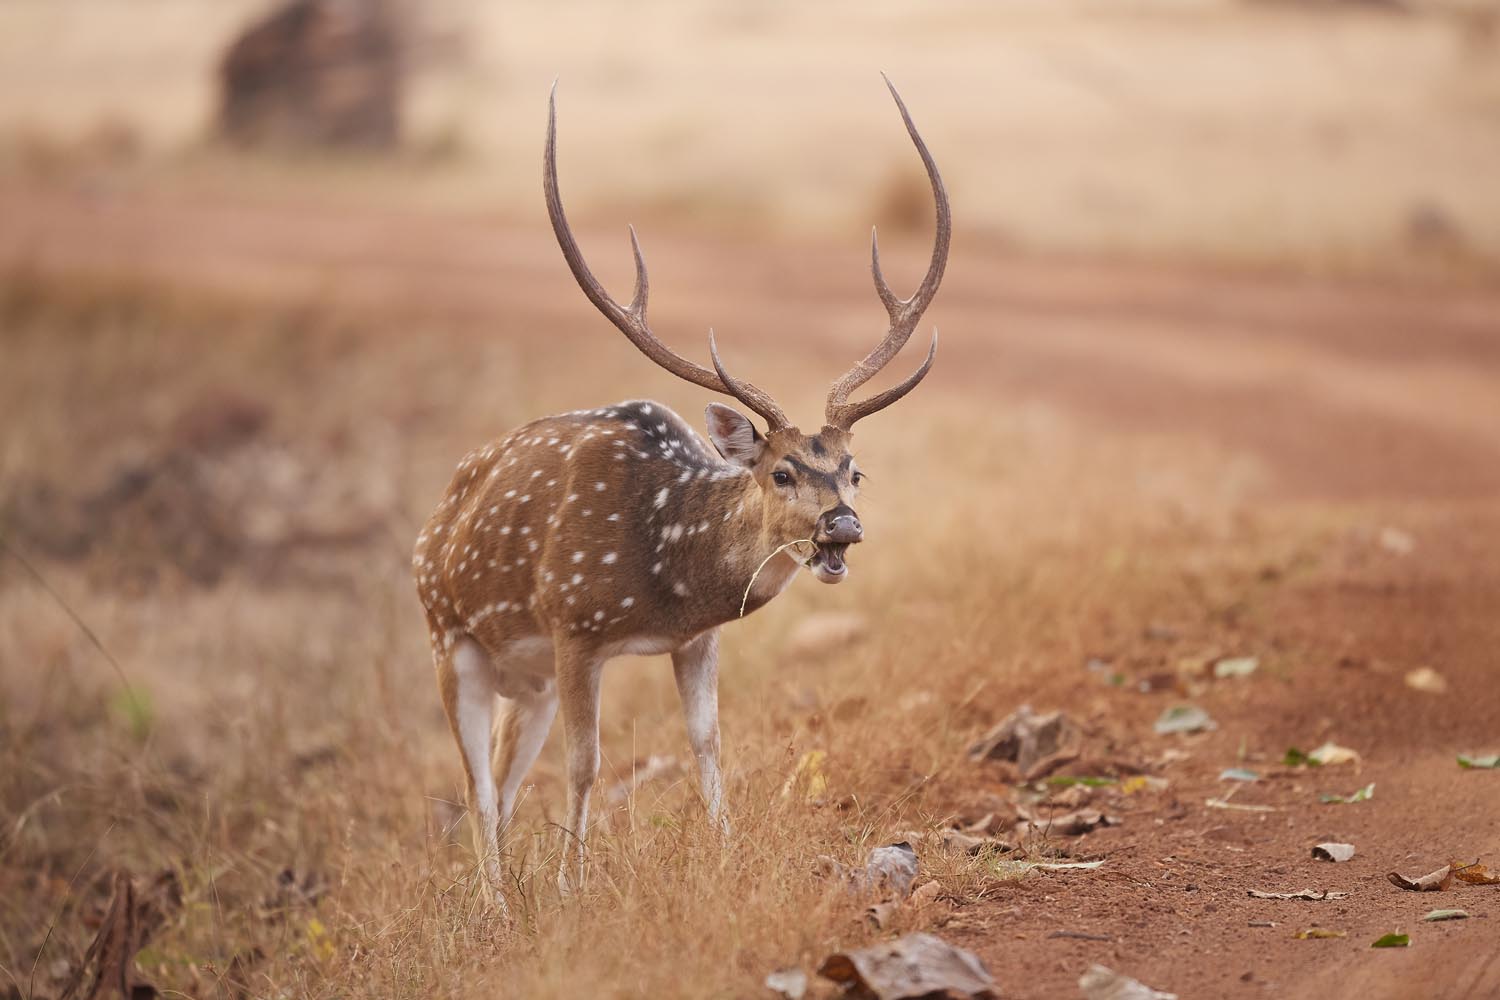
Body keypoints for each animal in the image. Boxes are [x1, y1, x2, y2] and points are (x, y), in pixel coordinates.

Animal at [413, 75, 950, 902]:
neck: (666, 576)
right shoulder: (573, 625)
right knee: (476, 784)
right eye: (780, 470)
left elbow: (707, 742)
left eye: (854, 469)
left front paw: (726, 855)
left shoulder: (697, 640)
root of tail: (433, 525)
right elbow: (587, 763)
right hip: (450, 636)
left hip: (524, 679)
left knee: (501, 777)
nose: (843, 526)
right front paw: (572, 886)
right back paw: (498, 905)